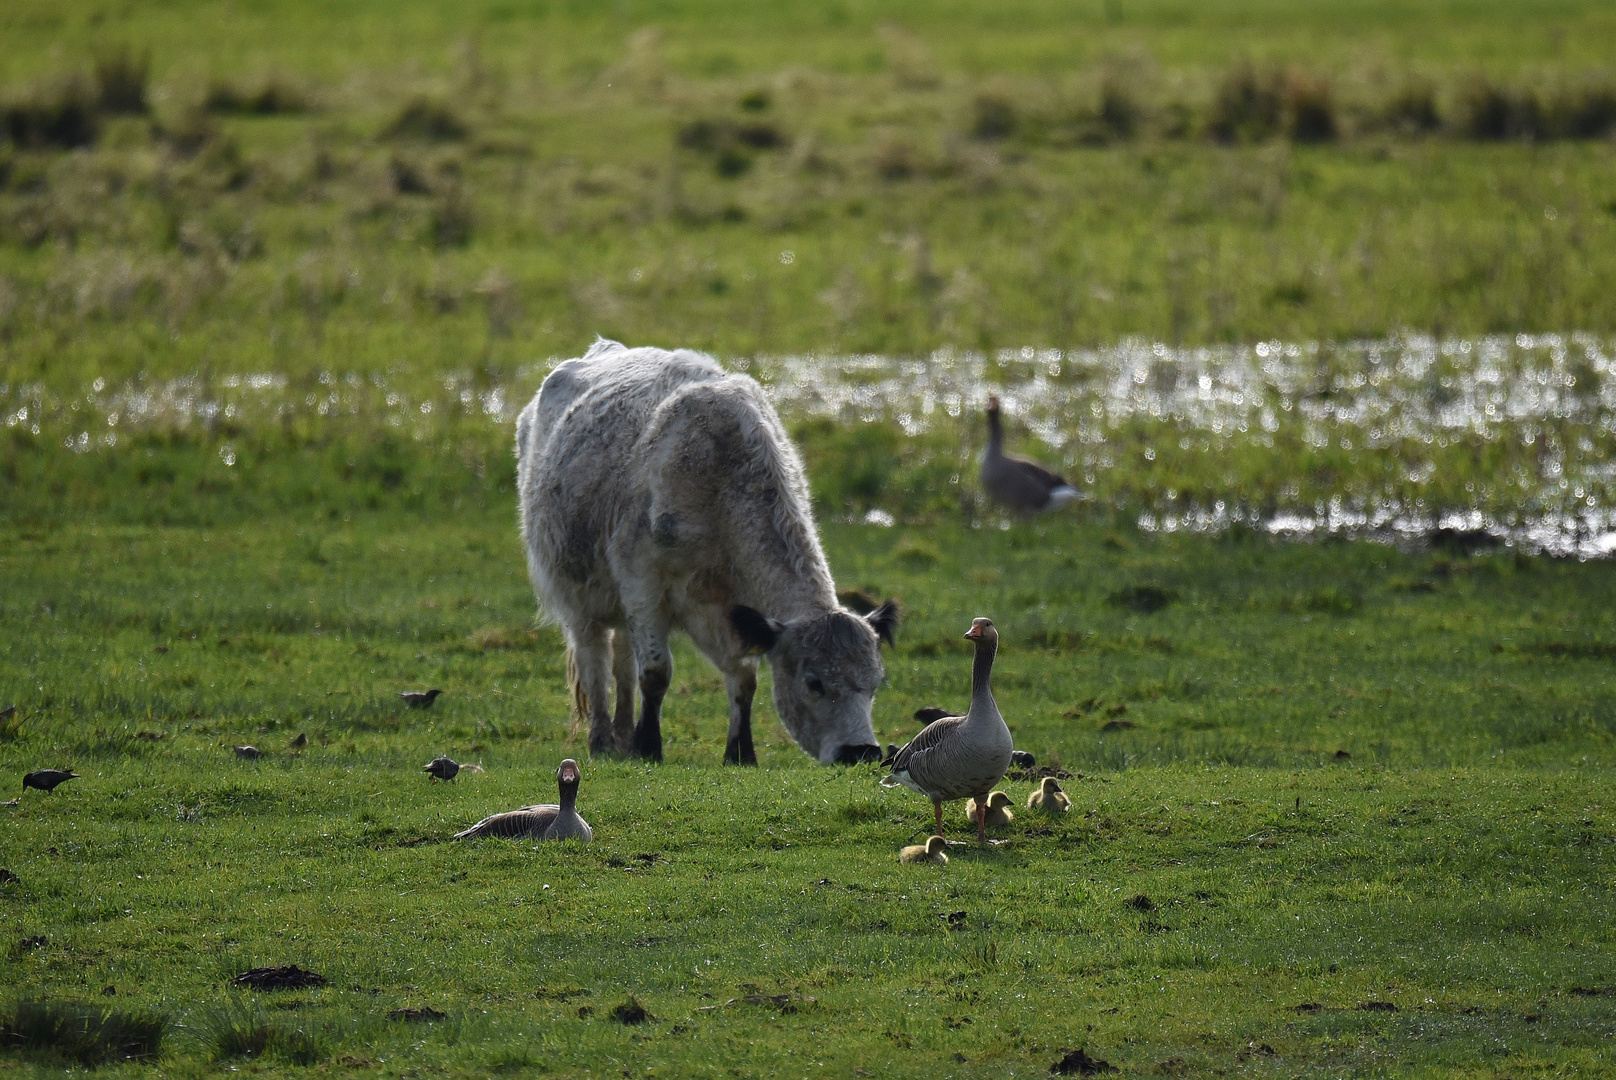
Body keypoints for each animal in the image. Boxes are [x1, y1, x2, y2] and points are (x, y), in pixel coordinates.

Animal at [513, 341, 898, 763]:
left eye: (876, 682)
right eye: (814, 683)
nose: (861, 752)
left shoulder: (731, 611)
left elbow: (744, 677)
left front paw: (740, 752)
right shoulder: (643, 584)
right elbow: (655, 672)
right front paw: (649, 748)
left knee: (622, 664)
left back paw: (623, 735)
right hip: (577, 597)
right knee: (594, 659)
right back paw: (602, 740)